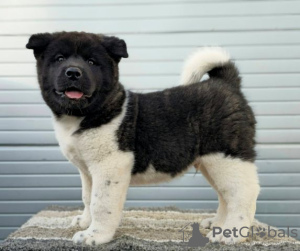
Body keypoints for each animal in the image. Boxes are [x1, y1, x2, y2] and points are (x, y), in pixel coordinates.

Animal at [26, 31, 260, 245]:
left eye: (91, 62)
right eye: (59, 59)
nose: (73, 72)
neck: (84, 115)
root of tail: (227, 83)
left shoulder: (110, 165)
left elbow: (101, 203)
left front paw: (94, 236)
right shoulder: (87, 170)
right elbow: (87, 197)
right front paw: (84, 222)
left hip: (227, 157)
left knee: (242, 193)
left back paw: (231, 232)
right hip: (211, 162)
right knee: (226, 194)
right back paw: (218, 224)